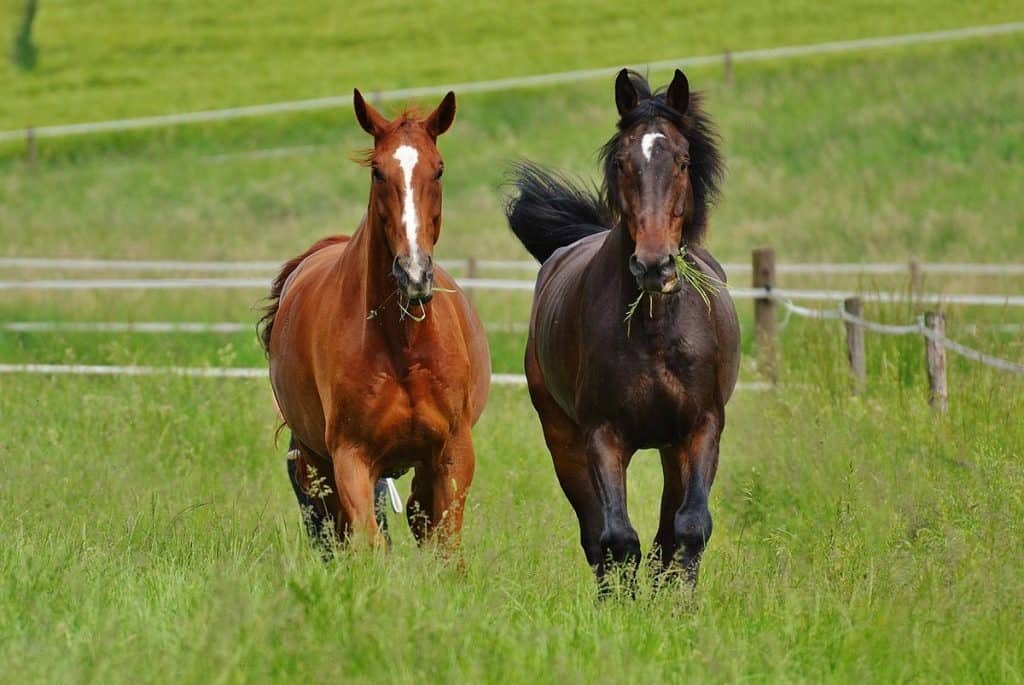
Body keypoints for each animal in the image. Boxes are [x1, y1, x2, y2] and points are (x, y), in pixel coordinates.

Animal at [260, 89, 491, 550]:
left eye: (439, 169)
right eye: (378, 172)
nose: (414, 273)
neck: (402, 345)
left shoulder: (453, 453)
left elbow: (445, 545)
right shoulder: (351, 458)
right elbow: (369, 543)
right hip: (317, 464)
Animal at [505, 69, 739, 587]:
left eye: (683, 160)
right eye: (621, 161)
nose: (653, 265)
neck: (655, 332)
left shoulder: (702, 427)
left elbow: (689, 528)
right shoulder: (602, 436)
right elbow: (617, 539)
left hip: (672, 448)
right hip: (563, 440)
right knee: (597, 537)